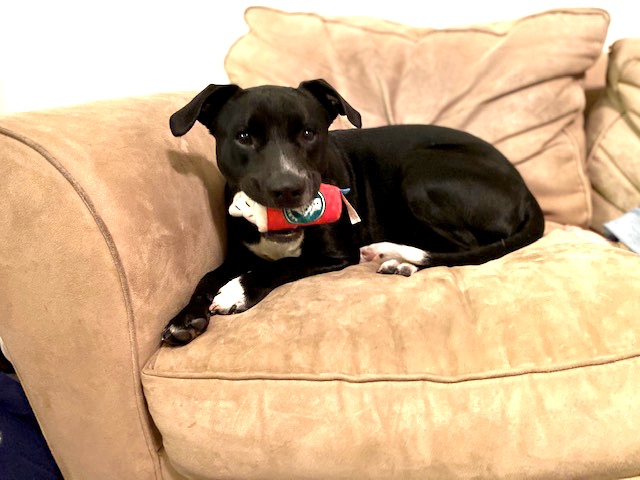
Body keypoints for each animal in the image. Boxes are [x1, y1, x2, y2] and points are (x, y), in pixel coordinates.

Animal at [161, 80, 544, 346]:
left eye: (308, 133)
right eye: (243, 137)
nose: (288, 188)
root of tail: (527, 192)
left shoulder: (337, 253)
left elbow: (283, 265)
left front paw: (238, 291)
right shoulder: (241, 252)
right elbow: (207, 276)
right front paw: (185, 317)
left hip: (418, 172)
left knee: (466, 247)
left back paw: (403, 260)